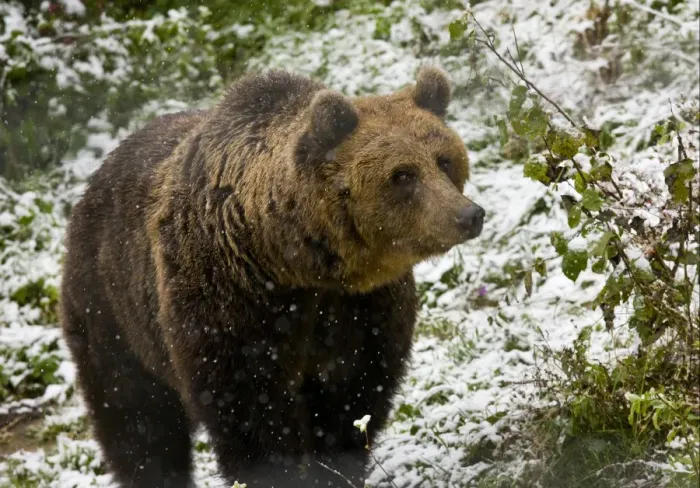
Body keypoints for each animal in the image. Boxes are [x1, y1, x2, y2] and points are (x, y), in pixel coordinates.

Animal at [59, 66, 485, 488]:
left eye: (444, 160)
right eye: (402, 175)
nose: (468, 215)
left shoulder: (360, 309)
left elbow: (351, 394)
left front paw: (333, 469)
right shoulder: (230, 302)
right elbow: (249, 410)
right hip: (112, 310)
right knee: (136, 417)